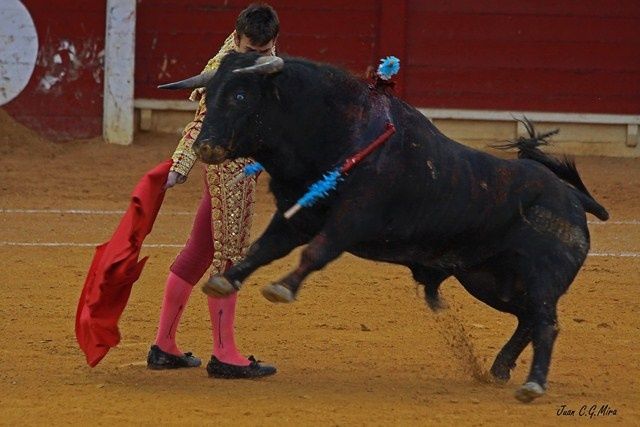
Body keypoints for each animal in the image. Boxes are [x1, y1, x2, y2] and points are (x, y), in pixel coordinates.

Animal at [161, 51, 608, 402]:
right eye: (207, 94)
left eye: (240, 95)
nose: (205, 146)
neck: (336, 131)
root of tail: (573, 199)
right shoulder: (300, 215)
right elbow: (263, 248)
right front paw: (226, 280)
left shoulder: (352, 219)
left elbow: (317, 251)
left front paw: (282, 288)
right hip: (489, 280)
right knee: (527, 319)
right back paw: (500, 368)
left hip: (540, 277)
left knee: (546, 323)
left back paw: (533, 385)